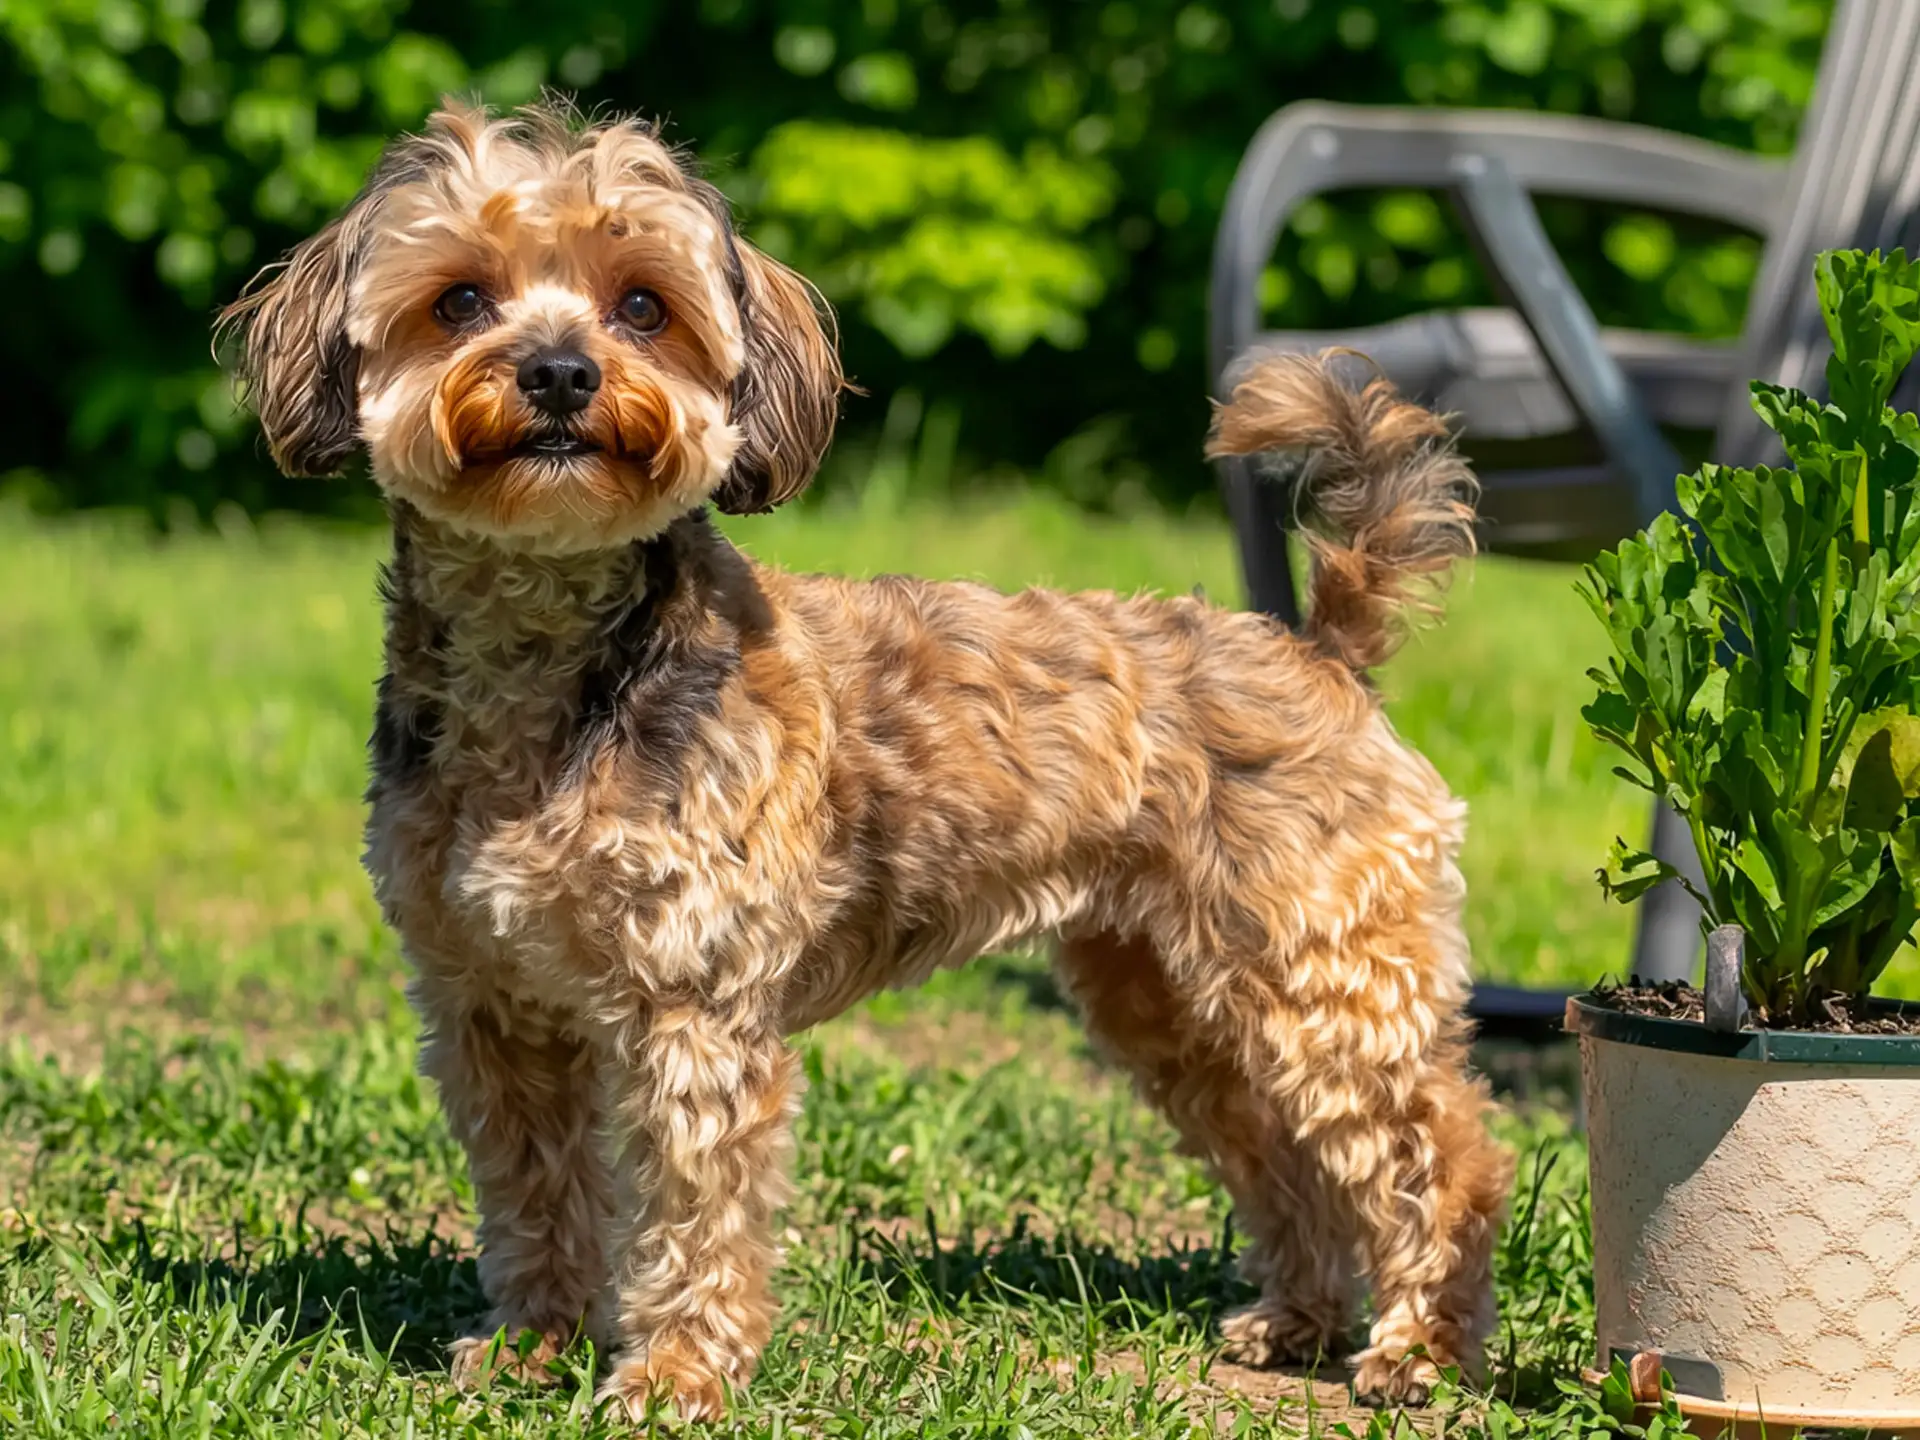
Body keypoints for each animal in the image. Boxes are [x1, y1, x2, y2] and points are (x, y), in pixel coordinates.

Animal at [220, 98, 1512, 1420]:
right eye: (462, 299)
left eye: (642, 306)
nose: (562, 372)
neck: (548, 674)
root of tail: (1323, 650)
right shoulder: (490, 1004)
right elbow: (536, 1194)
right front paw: (537, 1345)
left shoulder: (696, 1000)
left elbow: (693, 1211)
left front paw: (674, 1377)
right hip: (1167, 991)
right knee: (1285, 1152)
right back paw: (1298, 1321)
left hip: (1323, 971)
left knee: (1442, 1151)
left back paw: (1420, 1349)